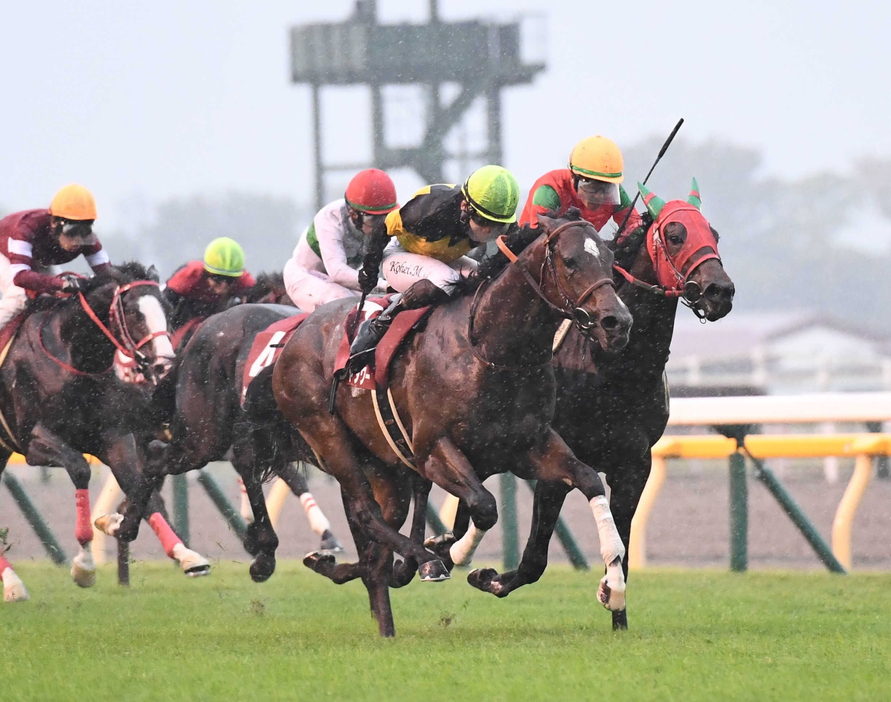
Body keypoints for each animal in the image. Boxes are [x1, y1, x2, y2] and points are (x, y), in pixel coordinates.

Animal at [0, 262, 208, 600]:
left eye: (167, 308)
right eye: (134, 313)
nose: (164, 365)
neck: (74, 356)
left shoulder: (115, 439)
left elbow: (141, 489)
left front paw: (186, 555)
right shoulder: (33, 441)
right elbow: (80, 469)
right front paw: (84, 565)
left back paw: (13, 583)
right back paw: (14, 584)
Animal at [272, 210, 636, 640]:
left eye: (610, 258)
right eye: (570, 261)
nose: (617, 322)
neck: (490, 349)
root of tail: (295, 335)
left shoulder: (529, 446)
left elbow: (589, 479)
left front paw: (613, 586)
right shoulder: (434, 452)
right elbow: (485, 506)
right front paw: (452, 551)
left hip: (384, 467)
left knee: (377, 544)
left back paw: (373, 603)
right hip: (328, 436)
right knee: (365, 513)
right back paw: (422, 561)